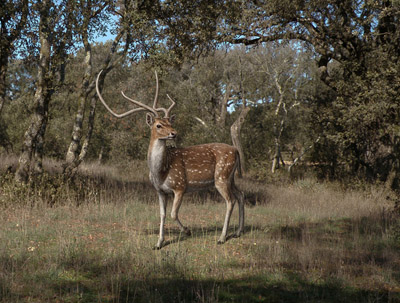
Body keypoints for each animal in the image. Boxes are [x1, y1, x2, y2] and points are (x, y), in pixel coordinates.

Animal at [96, 70, 244, 249]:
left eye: (169, 122)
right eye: (159, 125)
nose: (174, 133)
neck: (161, 172)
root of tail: (236, 150)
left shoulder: (180, 186)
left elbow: (173, 213)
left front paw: (187, 231)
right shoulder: (160, 191)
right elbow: (162, 214)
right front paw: (159, 243)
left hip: (221, 176)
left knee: (230, 201)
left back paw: (222, 237)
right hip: (230, 177)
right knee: (241, 195)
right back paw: (238, 232)